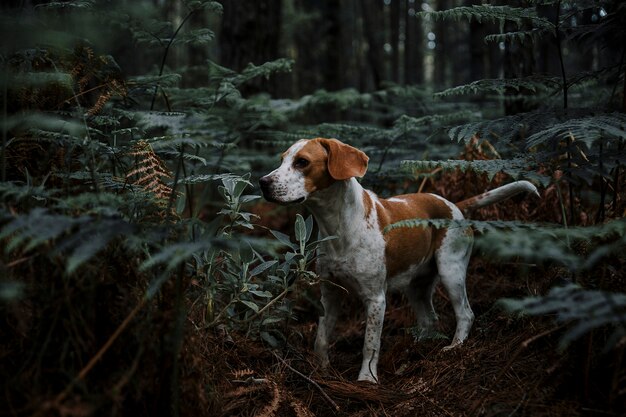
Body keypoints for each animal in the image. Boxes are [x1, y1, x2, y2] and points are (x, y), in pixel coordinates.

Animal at [258, 138, 536, 382]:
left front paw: (367, 379)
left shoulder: (376, 299)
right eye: (282, 160)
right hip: (417, 286)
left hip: (451, 271)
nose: (262, 182)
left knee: (466, 314)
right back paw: (413, 348)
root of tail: (454, 205)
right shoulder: (330, 293)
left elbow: (370, 345)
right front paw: (321, 370)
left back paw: (454, 348)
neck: (339, 227)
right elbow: (322, 337)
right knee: (430, 319)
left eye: (302, 162)